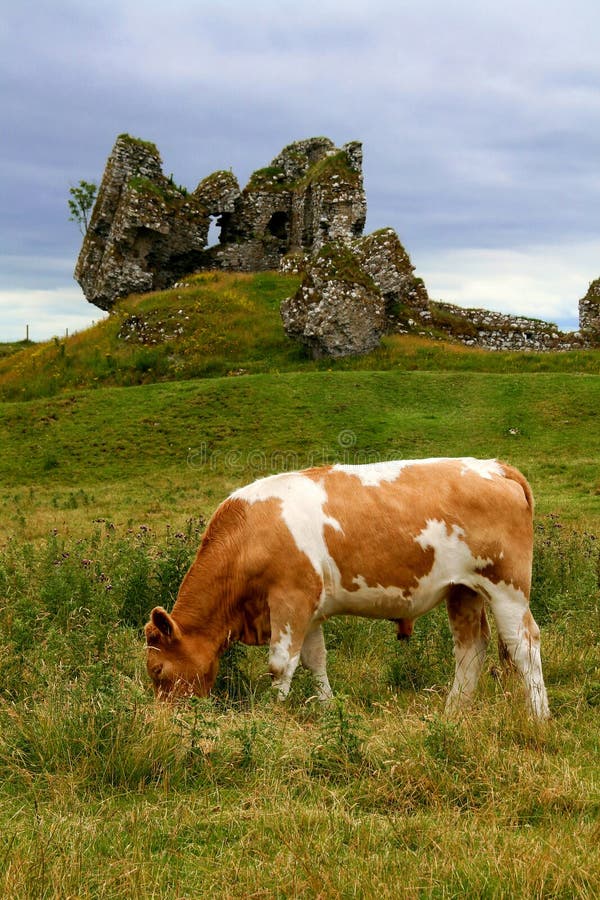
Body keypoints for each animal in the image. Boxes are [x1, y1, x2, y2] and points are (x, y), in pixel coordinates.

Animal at [144, 458, 548, 716]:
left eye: (158, 671)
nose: (166, 720)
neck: (249, 535)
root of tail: (494, 466)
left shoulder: (290, 598)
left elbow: (281, 663)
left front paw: (270, 715)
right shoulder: (310, 609)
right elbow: (314, 659)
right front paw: (327, 707)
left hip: (507, 588)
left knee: (524, 644)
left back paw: (539, 715)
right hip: (463, 591)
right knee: (470, 648)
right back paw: (454, 711)